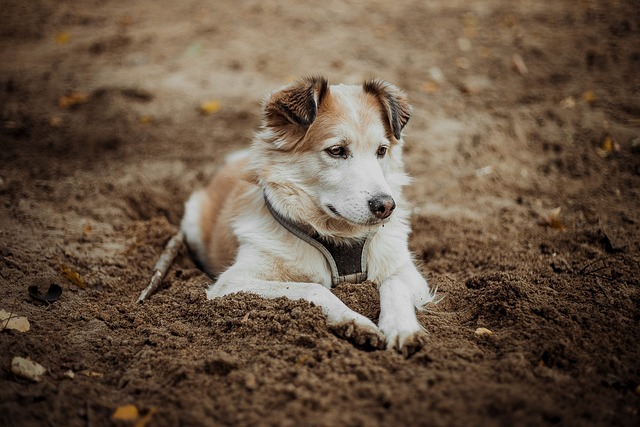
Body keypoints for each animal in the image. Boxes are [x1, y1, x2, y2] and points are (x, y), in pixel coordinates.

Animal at [182, 77, 438, 358]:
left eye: (381, 151)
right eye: (336, 150)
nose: (386, 206)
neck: (340, 235)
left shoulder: (408, 272)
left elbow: (394, 285)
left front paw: (401, 328)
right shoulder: (232, 282)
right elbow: (313, 287)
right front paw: (353, 320)